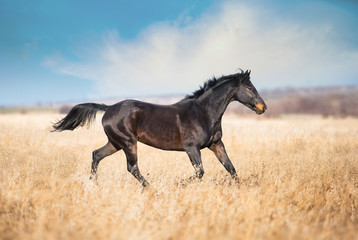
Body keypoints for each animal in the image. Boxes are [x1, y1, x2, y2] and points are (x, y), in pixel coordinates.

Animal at [52, 70, 266, 187]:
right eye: (249, 88)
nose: (263, 107)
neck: (203, 112)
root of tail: (108, 108)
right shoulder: (191, 148)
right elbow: (200, 172)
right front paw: (180, 184)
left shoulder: (216, 144)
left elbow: (230, 167)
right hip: (128, 143)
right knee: (132, 167)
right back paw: (150, 187)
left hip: (116, 143)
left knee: (96, 154)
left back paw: (93, 183)